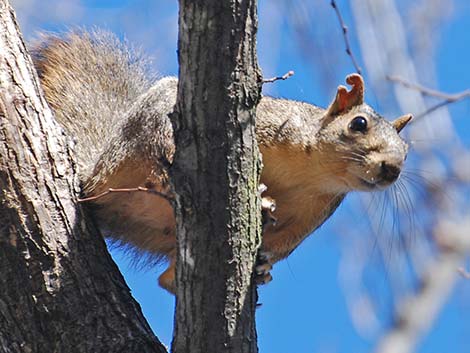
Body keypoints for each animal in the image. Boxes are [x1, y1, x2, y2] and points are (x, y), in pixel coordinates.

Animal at [31, 30, 412, 292]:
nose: (391, 170)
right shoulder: (269, 122)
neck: (312, 173)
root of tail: (92, 173)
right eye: (358, 124)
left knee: (167, 280)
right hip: (139, 137)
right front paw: (261, 198)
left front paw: (263, 267)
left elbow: (281, 243)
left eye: (406, 152)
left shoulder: (311, 214)